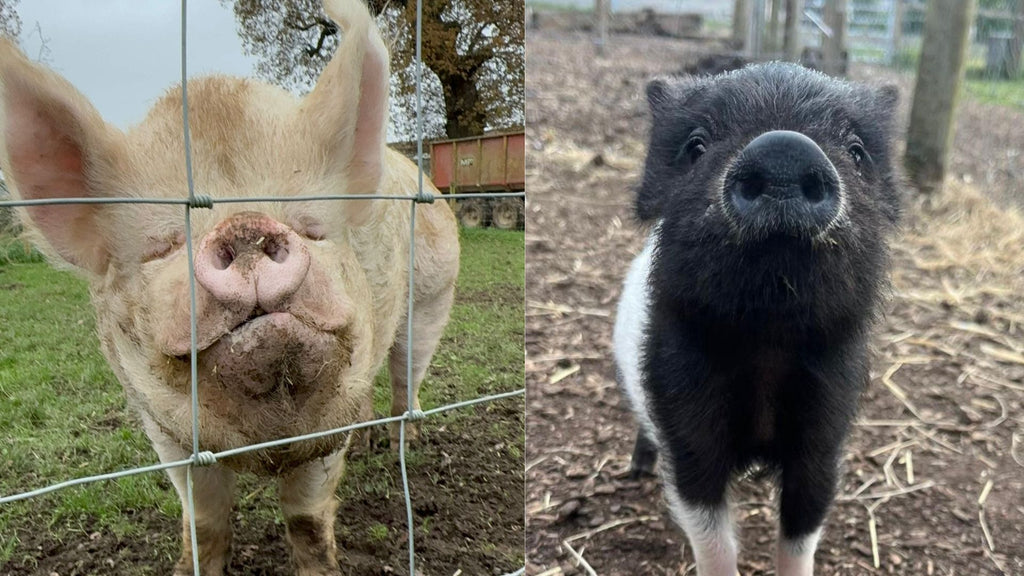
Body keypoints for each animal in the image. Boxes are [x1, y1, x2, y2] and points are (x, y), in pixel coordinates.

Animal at [610, 60, 901, 569]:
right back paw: (637, 470)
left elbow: (802, 528)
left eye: (856, 150)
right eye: (696, 145)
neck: (768, 343)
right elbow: (713, 539)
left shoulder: (826, 429)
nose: (784, 148)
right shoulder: (685, 423)